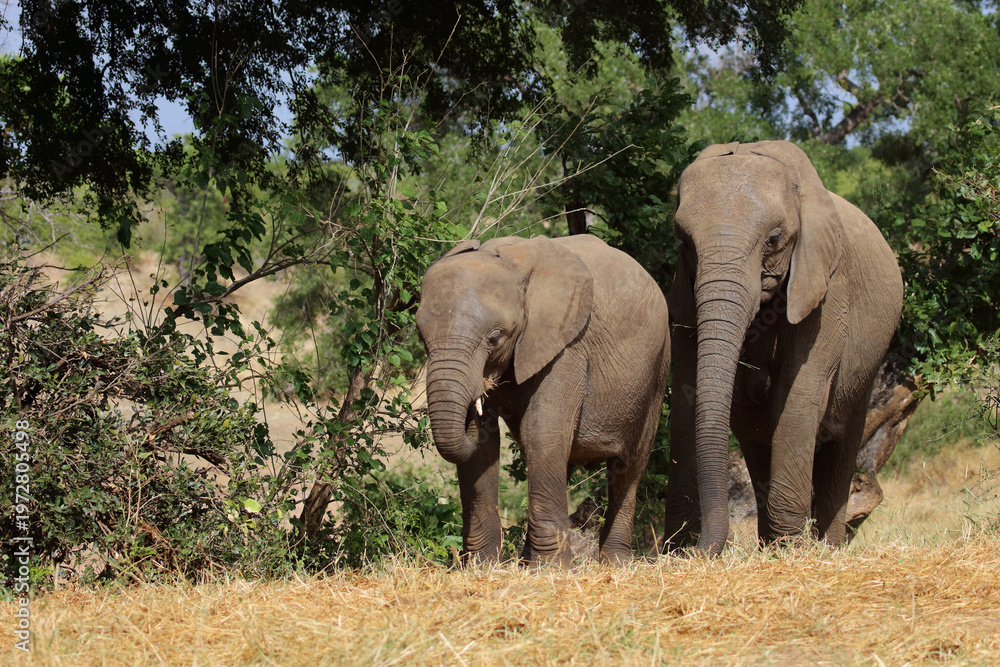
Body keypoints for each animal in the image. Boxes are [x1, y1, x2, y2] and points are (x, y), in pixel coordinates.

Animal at [416, 234, 670, 566]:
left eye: (494, 338)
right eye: (421, 337)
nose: (473, 406)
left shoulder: (568, 342)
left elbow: (542, 429)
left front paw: (550, 569)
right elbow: (485, 448)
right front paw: (482, 565)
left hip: (657, 368)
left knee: (630, 466)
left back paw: (614, 562)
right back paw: (528, 559)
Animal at [661, 140, 904, 556]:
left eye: (774, 240)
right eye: (683, 242)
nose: (702, 550)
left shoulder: (829, 287)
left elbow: (799, 394)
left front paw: (792, 549)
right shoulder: (684, 293)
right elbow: (688, 393)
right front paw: (676, 548)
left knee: (841, 448)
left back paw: (826, 549)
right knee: (757, 439)